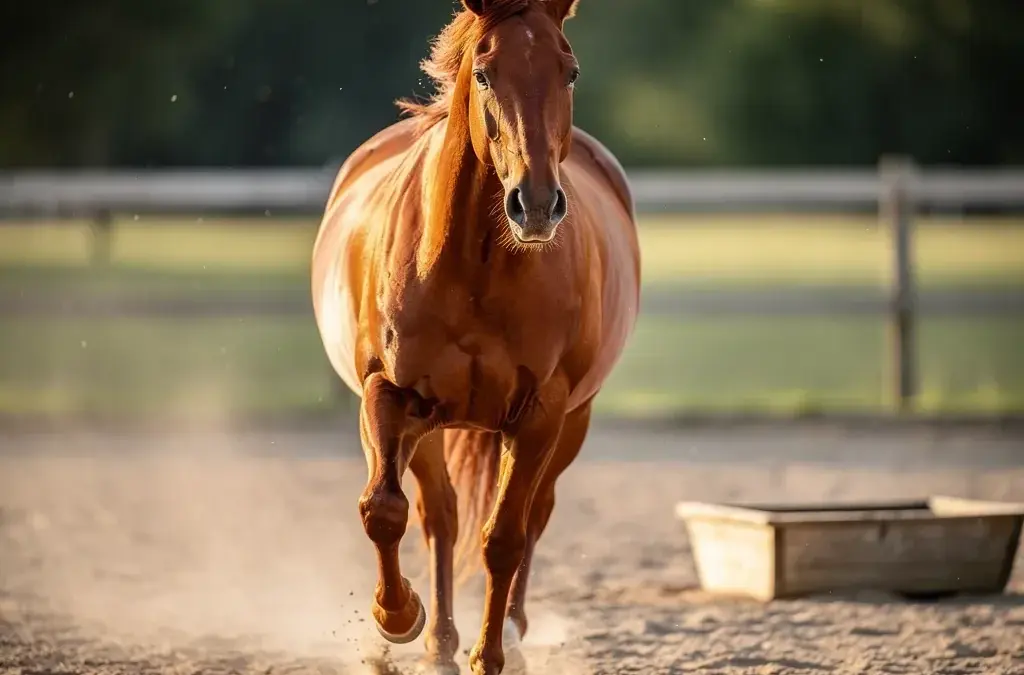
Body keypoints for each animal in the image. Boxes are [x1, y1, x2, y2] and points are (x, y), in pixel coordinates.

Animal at [310, 1, 640, 672]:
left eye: (570, 71)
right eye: (484, 74)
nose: (535, 205)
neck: (470, 262)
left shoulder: (541, 412)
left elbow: (504, 538)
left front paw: (488, 655)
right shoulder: (388, 394)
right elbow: (384, 510)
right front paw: (398, 618)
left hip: (574, 419)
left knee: (534, 516)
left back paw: (510, 631)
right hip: (430, 425)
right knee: (439, 516)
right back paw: (436, 639)